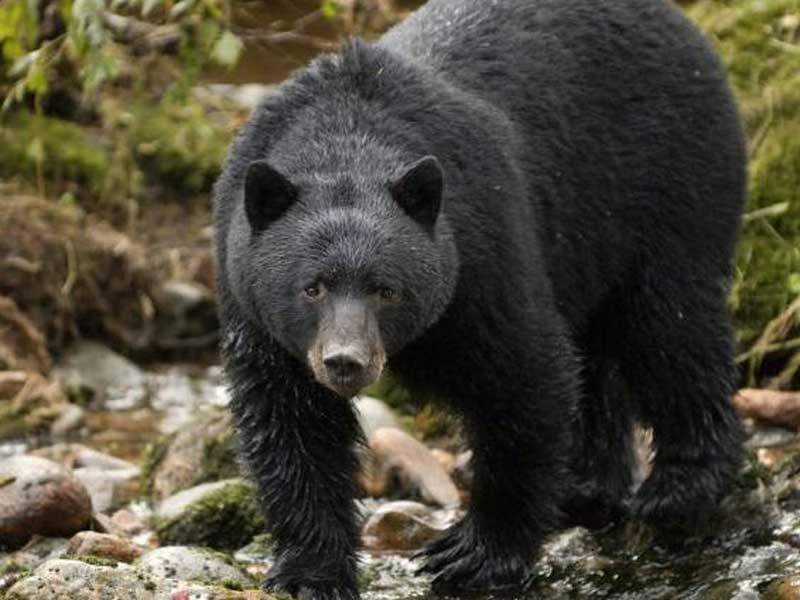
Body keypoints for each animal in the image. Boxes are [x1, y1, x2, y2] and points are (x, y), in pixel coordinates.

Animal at [216, 1, 748, 596]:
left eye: (385, 289)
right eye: (312, 287)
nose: (345, 362)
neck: (345, 135)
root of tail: (686, 27)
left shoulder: (481, 251)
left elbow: (522, 378)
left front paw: (475, 554)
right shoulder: (256, 307)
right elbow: (291, 422)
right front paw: (311, 572)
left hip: (670, 185)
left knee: (671, 327)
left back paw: (681, 486)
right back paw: (585, 483)